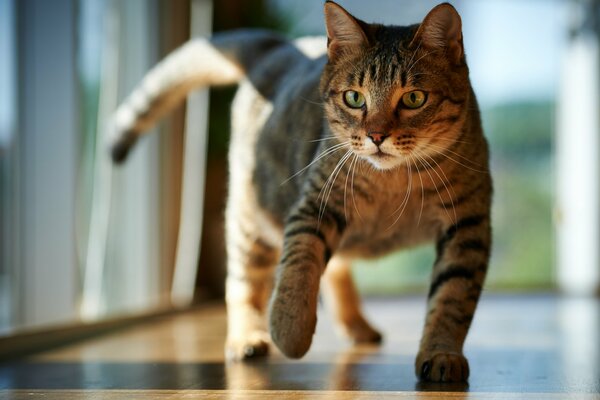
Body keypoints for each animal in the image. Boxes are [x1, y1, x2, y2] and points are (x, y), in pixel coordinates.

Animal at [109, 1, 492, 382]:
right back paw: (248, 337)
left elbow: (452, 297)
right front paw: (289, 330)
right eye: (354, 98)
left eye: (413, 98)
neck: (395, 183)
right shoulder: (315, 204)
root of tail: (279, 48)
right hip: (251, 219)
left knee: (336, 269)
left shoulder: (468, 226)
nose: (376, 136)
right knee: (243, 284)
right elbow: (299, 265)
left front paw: (441, 353)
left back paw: (357, 325)